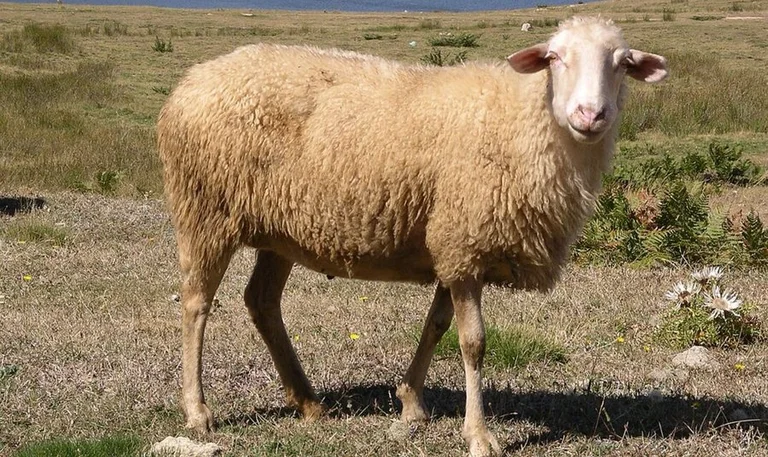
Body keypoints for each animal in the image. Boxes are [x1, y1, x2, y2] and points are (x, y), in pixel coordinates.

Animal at [157, 16, 667, 457]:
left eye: (623, 63)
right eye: (555, 57)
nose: (590, 114)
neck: (522, 123)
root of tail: (190, 81)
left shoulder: (454, 244)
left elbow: (436, 325)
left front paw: (411, 403)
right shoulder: (464, 242)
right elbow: (473, 343)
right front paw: (479, 434)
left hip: (278, 230)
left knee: (261, 301)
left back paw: (308, 401)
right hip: (205, 210)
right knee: (196, 303)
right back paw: (198, 410)